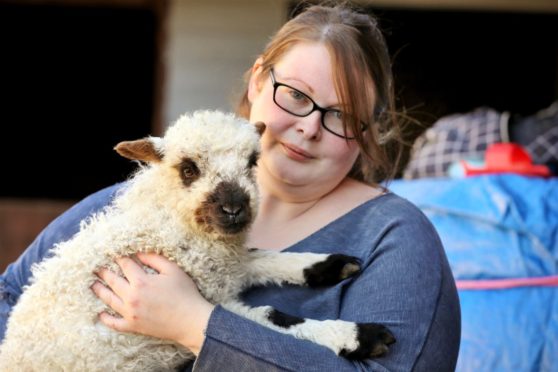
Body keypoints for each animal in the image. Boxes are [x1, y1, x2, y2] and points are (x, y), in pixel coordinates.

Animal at [0, 109, 396, 370]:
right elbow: (271, 317)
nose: (234, 209)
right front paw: (361, 337)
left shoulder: (220, 264)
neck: (170, 223)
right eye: (188, 169)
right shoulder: (204, 296)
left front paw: (329, 265)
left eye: (252, 162)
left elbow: (263, 255)